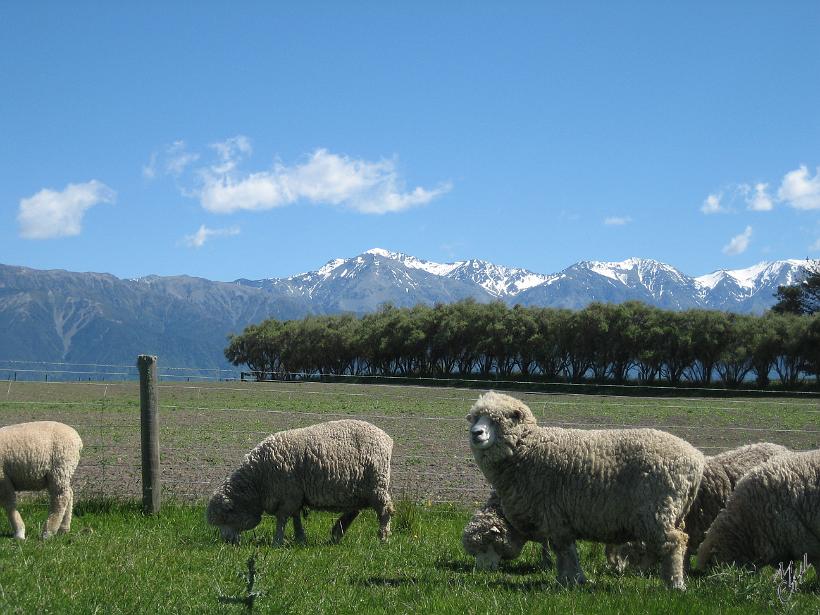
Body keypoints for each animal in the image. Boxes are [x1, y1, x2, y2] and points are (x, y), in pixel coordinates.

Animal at [207, 422, 396, 548]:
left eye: (225, 518)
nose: (227, 542)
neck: (258, 481)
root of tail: (386, 438)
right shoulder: (296, 495)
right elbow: (295, 517)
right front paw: (300, 539)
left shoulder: (289, 495)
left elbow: (282, 518)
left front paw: (277, 542)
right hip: (358, 489)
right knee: (354, 510)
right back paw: (336, 533)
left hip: (376, 483)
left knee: (384, 511)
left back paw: (383, 537)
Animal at [468, 392, 704, 588]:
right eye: (476, 418)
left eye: (496, 420)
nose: (476, 433)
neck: (527, 448)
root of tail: (696, 458)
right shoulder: (560, 519)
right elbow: (567, 551)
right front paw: (571, 580)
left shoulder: (554, 516)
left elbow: (565, 552)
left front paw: (569, 580)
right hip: (673, 511)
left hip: (656, 509)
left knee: (674, 543)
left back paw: (675, 585)